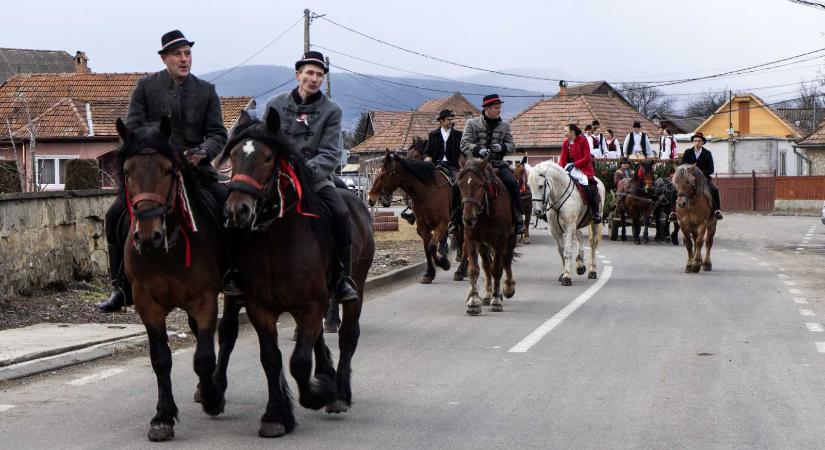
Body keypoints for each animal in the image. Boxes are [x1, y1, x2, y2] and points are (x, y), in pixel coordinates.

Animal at [116, 117, 225, 442]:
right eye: (127, 171)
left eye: (168, 170)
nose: (148, 236)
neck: (167, 250)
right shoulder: (147, 303)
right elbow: (161, 358)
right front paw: (163, 417)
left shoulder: (205, 299)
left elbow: (203, 356)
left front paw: (213, 398)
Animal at [219, 109, 374, 436]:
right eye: (234, 156)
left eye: (267, 158)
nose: (237, 210)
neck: (277, 240)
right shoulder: (260, 307)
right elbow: (271, 358)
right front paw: (276, 415)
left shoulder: (312, 304)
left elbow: (299, 362)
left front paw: (317, 395)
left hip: (356, 285)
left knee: (348, 336)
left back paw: (340, 392)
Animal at [368, 151, 454, 284]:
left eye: (383, 176)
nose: (370, 199)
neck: (427, 192)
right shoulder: (423, 227)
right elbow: (427, 248)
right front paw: (430, 273)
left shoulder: (442, 223)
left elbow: (432, 246)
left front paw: (444, 264)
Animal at [458, 160, 516, 314]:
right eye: (460, 185)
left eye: (479, 185)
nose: (468, 219)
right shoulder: (471, 239)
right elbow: (474, 269)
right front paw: (473, 302)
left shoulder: (501, 240)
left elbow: (497, 269)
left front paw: (496, 301)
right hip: (483, 244)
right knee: (486, 264)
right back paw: (488, 294)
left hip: (510, 238)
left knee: (506, 260)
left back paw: (508, 287)